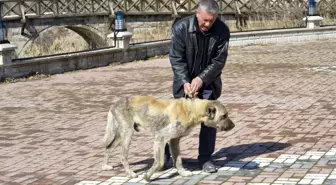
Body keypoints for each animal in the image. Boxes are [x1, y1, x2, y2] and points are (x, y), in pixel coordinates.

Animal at [101, 95, 235, 181]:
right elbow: (159, 161)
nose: (233, 125)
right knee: (122, 155)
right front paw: (148, 176)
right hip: (127, 133)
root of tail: (115, 103)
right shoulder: (160, 138)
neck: (191, 110)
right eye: (224, 116)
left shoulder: (174, 141)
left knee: (108, 147)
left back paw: (105, 166)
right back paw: (130, 173)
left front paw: (183, 173)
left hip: (121, 134)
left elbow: (178, 160)